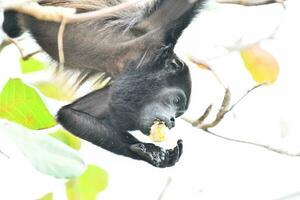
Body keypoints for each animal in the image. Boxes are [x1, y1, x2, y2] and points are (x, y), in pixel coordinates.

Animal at [2, 0, 205, 166]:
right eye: (177, 101)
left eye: (179, 113)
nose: (173, 121)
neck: (134, 62)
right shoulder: (159, 30)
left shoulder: (121, 85)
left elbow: (71, 114)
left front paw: (151, 152)